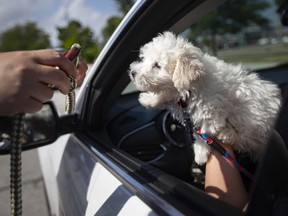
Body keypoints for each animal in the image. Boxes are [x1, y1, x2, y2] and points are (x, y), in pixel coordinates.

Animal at [129, 31, 282, 165]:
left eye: (157, 65)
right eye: (144, 59)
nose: (132, 72)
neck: (194, 85)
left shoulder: (211, 112)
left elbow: (203, 134)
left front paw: (200, 153)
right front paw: (149, 100)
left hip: (253, 119)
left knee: (246, 138)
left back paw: (227, 134)